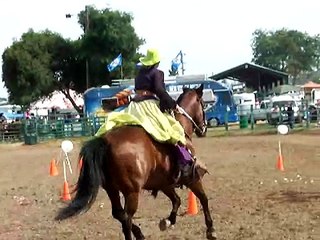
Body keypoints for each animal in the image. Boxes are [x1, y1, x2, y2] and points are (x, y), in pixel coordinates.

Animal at [55, 83, 218, 239]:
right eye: (203, 104)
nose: (204, 128)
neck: (181, 125)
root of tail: (106, 141)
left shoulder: (164, 183)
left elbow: (176, 200)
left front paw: (168, 221)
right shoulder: (192, 178)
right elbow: (203, 198)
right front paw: (211, 229)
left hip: (112, 189)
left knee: (119, 214)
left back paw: (139, 233)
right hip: (132, 192)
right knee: (126, 218)